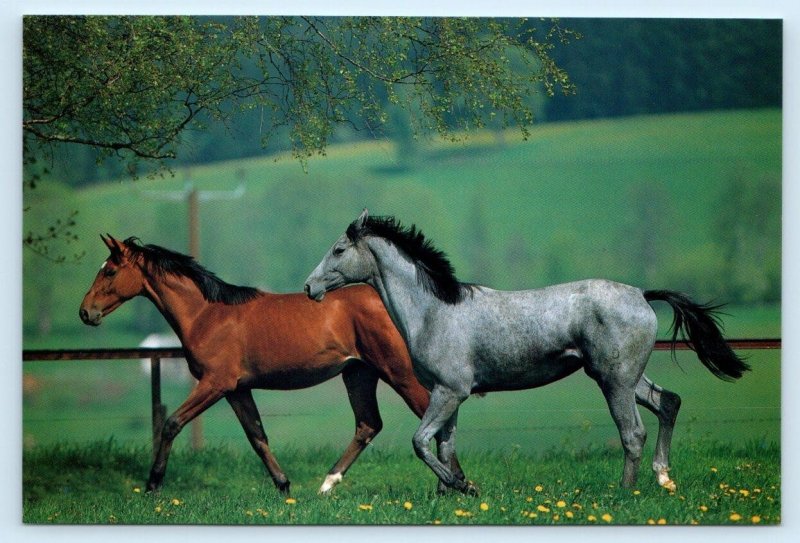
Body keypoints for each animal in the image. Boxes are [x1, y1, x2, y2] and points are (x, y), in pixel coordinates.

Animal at [79, 234, 463, 495]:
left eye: (110, 270)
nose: (86, 313)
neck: (207, 314)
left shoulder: (214, 383)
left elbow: (172, 423)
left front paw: (153, 483)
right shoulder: (237, 389)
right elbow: (257, 436)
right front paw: (283, 485)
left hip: (397, 372)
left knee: (431, 418)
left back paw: (453, 485)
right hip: (358, 373)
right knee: (368, 425)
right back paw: (327, 484)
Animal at [304, 209, 750, 495]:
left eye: (339, 250)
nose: (310, 288)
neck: (434, 310)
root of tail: (641, 294)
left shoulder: (449, 392)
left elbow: (420, 442)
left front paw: (460, 486)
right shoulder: (448, 395)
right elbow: (444, 446)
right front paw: (453, 493)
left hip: (615, 382)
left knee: (633, 433)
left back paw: (625, 493)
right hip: (627, 377)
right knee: (669, 403)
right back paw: (663, 478)